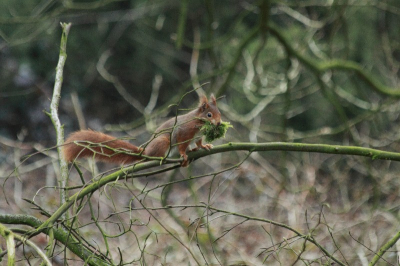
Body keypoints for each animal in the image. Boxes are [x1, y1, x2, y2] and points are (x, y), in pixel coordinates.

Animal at [64, 94, 223, 166]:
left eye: (219, 112)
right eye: (209, 115)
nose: (219, 123)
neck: (199, 122)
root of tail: (146, 152)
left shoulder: (198, 136)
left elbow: (199, 142)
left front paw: (205, 146)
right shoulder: (184, 131)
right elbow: (182, 143)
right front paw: (184, 154)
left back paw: (193, 151)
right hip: (163, 142)